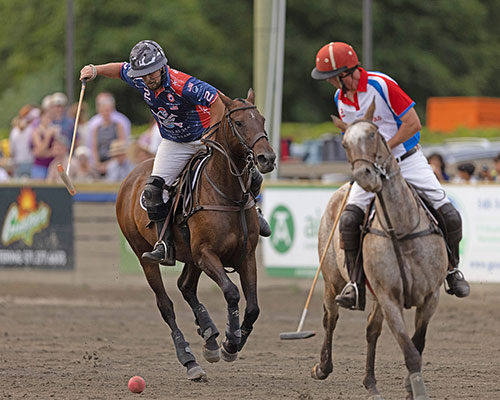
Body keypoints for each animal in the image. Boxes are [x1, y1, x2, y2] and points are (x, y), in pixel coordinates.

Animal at [115, 90, 276, 382]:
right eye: (239, 122)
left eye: (261, 119)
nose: (266, 158)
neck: (228, 194)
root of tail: (129, 177)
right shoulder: (206, 254)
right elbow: (231, 292)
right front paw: (230, 341)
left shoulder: (245, 256)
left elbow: (253, 308)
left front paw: (230, 342)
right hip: (145, 255)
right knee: (166, 305)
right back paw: (190, 359)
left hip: (190, 256)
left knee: (186, 286)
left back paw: (209, 335)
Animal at [312, 104, 450, 400]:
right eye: (344, 143)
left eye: (373, 134)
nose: (364, 176)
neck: (401, 229)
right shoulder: (389, 299)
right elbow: (409, 350)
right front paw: (415, 389)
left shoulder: (430, 297)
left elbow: (417, 343)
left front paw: (410, 387)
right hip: (332, 280)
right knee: (330, 318)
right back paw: (322, 367)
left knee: (371, 330)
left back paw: (371, 383)